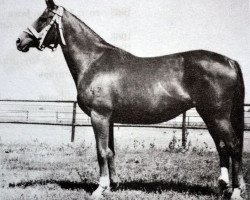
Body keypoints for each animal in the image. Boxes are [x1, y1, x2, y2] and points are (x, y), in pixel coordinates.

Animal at [17, 0, 246, 199]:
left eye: (44, 18)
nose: (19, 41)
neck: (94, 61)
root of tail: (230, 61)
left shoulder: (98, 116)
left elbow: (101, 151)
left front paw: (100, 189)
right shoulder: (108, 119)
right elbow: (110, 151)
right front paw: (113, 185)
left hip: (217, 115)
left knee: (233, 145)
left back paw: (236, 191)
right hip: (208, 114)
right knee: (222, 146)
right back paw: (223, 186)